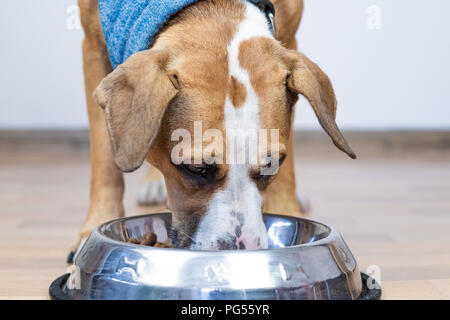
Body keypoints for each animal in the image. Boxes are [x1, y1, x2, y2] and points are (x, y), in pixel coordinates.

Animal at [72, 0, 356, 258]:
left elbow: (287, 172)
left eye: (272, 163)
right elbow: (104, 157)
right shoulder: (94, 43)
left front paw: (287, 208)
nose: (239, 250)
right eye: (195, 168)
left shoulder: (288, 38)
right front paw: (91, 231)